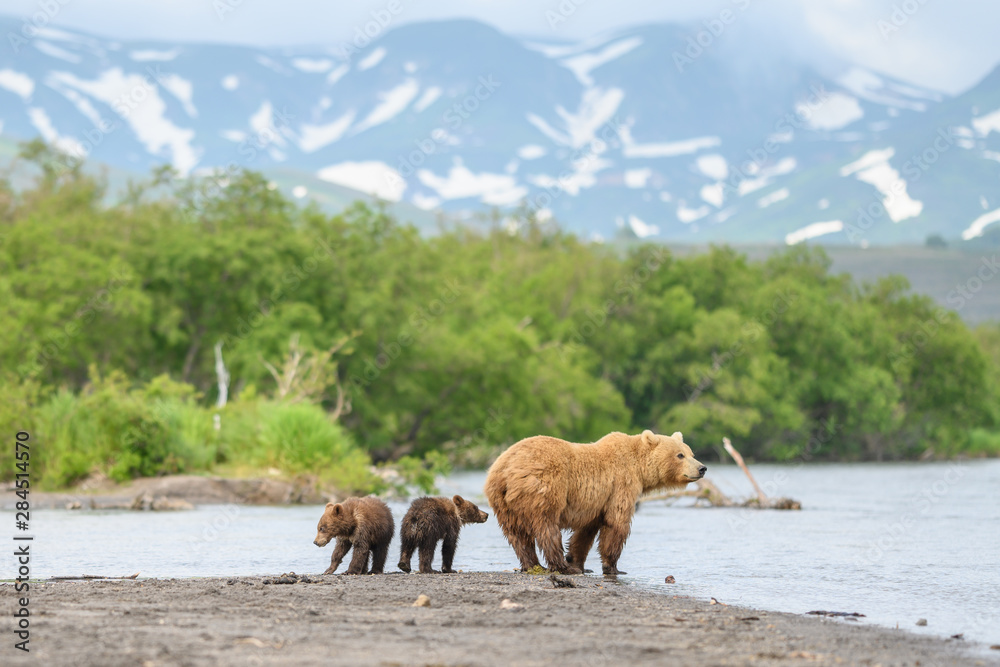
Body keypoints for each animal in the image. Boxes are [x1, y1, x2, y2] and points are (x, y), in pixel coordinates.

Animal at [484, 430, 706, 576]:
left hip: (501, 499)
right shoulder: (621, 484)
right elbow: (616, 523)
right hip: (544, 486)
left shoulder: (596, 503)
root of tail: (506, 468)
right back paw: (560, 566)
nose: (702, 468)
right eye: (680, 455)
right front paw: (613, 567)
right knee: (546, 525)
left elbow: (585, 533)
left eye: (691, 453)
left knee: (516, 534)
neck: (640, 469)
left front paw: (577, 562)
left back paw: (532, 564)